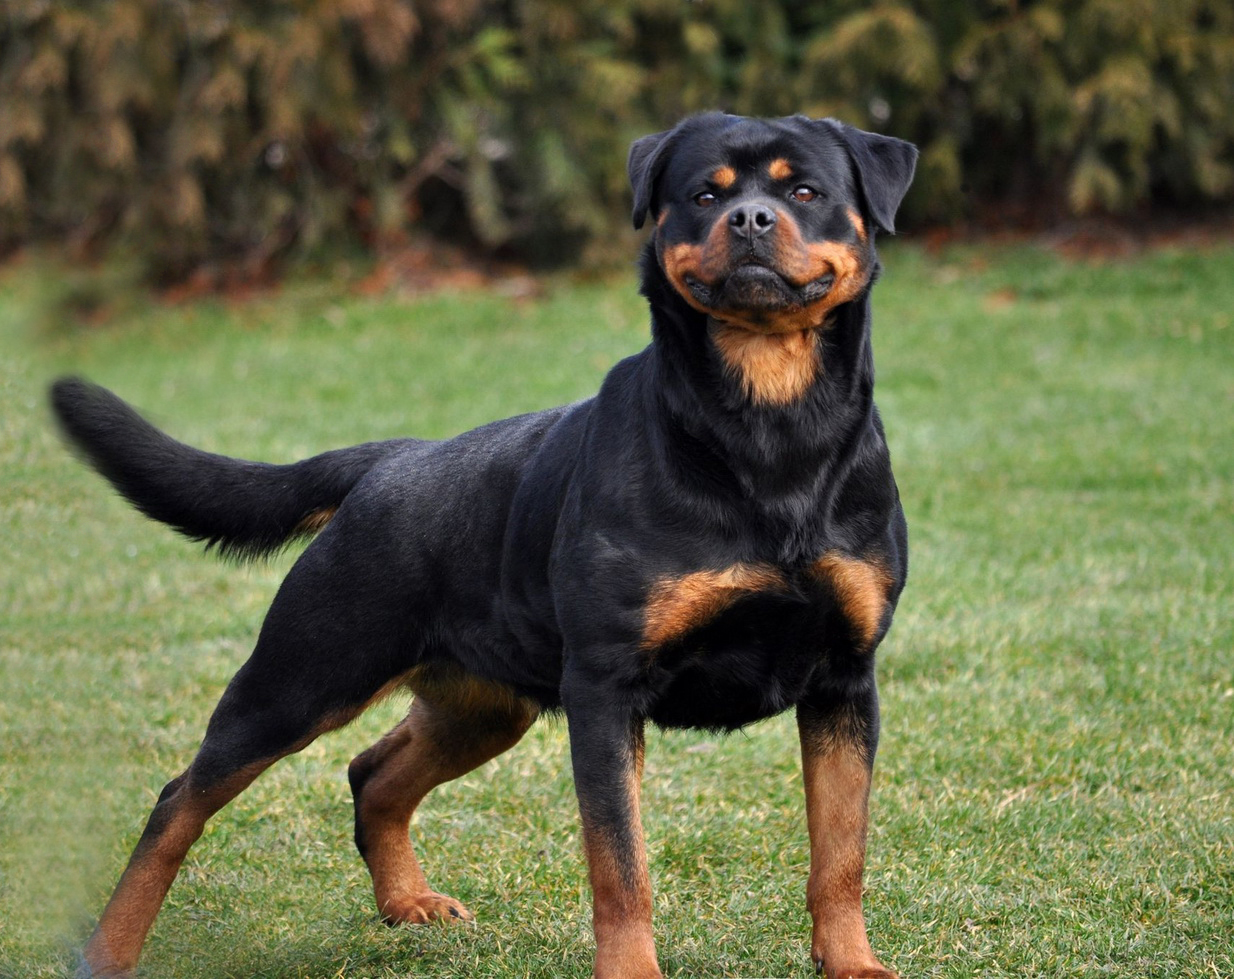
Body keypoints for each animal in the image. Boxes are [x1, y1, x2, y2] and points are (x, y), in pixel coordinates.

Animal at [55, 108, 918, 977]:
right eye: (706, 194)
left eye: (804, 191)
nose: (748, 219)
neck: (768, 424)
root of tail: (390, 461)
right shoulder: (604, 688)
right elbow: (621, 864)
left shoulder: (845, 680)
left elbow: (841, 851)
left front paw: (853, 962)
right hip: (303, 676)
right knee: (182, 799)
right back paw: (109, 948)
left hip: (482, 702)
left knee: (373, 773)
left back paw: (407, 903)